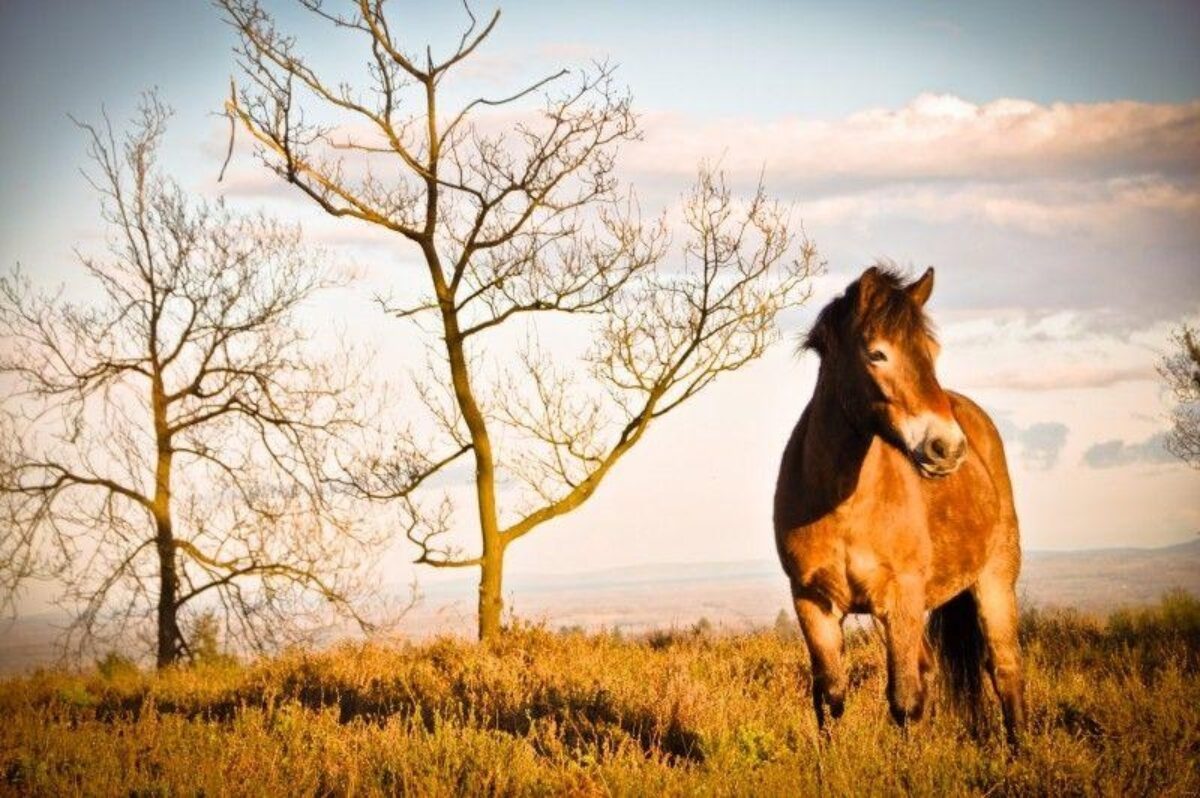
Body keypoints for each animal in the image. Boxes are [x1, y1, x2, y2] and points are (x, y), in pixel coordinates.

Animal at [772, 264, 1027, 744]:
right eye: (877, 354)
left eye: (932, 351)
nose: (947, 448)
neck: (843, 506)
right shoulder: (811, 602)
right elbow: (830, 696)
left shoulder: (902, 598)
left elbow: (904, 700)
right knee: (930, 667)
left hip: (994, 581)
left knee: (1004, 669)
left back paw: (1021, 750)